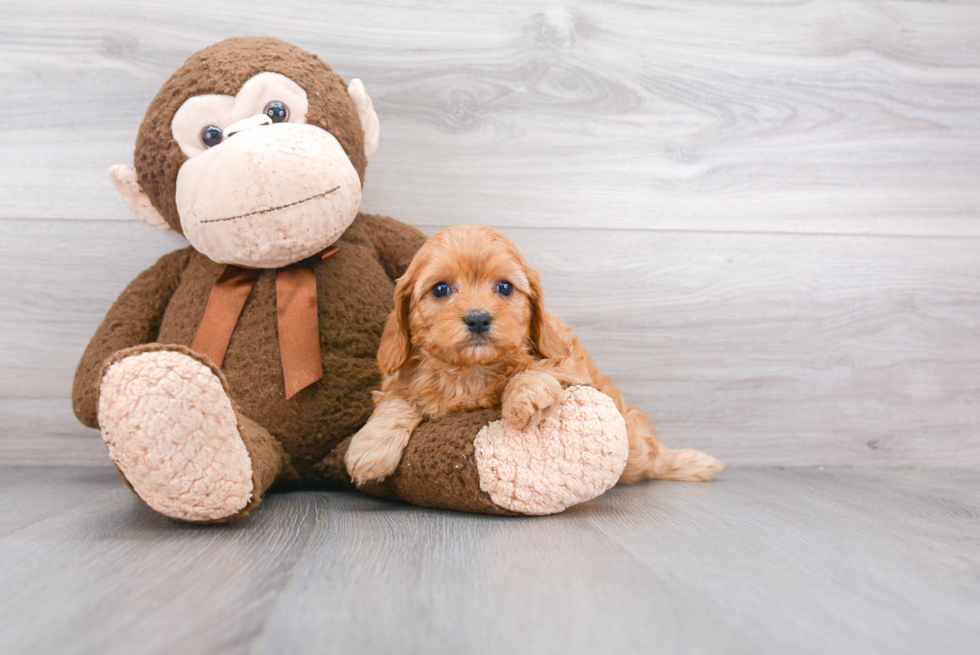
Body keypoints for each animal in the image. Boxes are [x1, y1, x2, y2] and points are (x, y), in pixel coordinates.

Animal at [342, 226, 720, 486]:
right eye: (441, 289)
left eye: (505, 287)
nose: (478, 318)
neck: (471, 372)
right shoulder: (399, 382)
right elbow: (397, 402)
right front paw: (371, 449)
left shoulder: (570, 366)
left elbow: (536, 370)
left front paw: (525, 396)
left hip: (635, 443)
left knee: (651, 457)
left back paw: (689, 462)